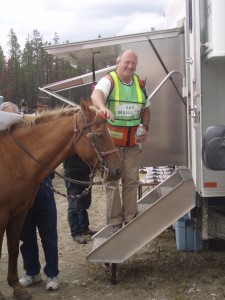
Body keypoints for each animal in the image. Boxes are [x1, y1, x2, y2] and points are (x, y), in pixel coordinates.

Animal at [0, 99, 122, 298]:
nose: (119, 169)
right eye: (99, 135)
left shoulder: (19, 212)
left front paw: (16, 287)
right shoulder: (2, 214)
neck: (14, 158)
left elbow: (13, 248)